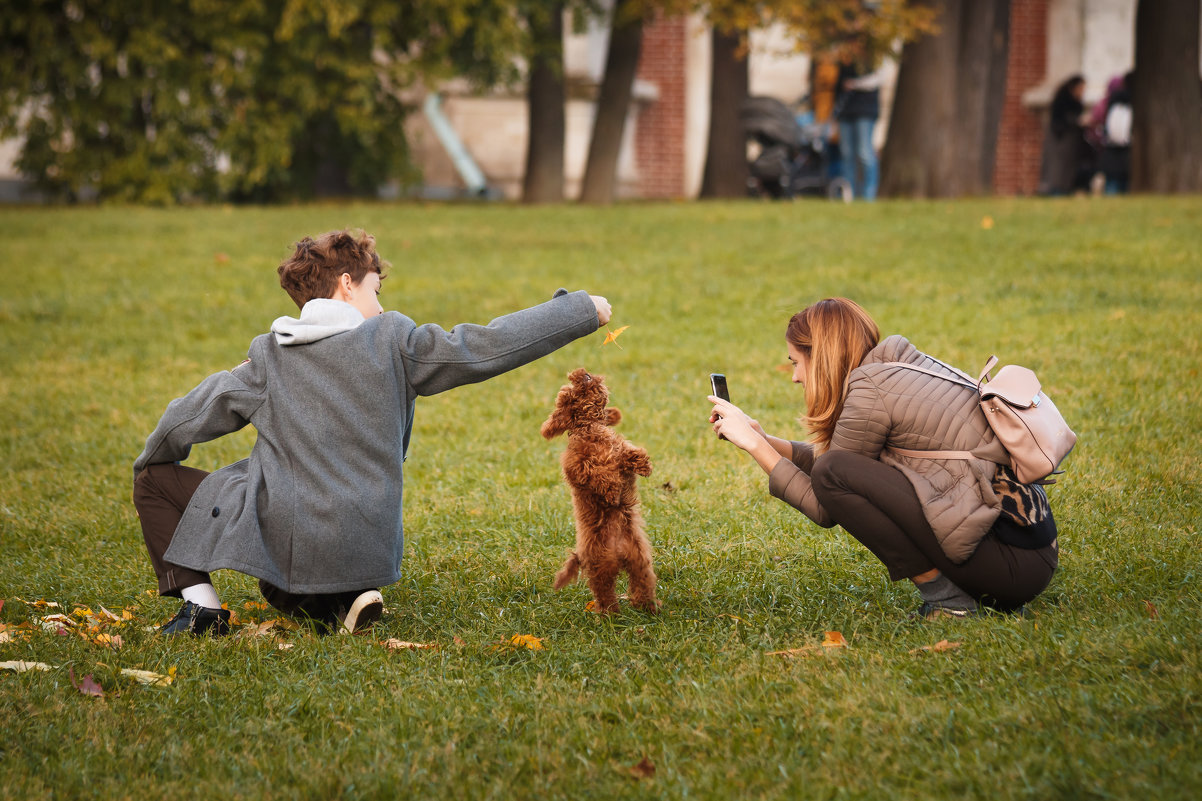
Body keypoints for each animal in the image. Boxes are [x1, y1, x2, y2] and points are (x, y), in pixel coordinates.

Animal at [543, 365, 658, 610]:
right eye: (570, 392)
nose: (581, 371)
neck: (591, 428)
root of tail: (619, 551)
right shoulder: (577, 467)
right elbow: (596, 473)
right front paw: (611, 490)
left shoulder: (620, 452)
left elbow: (629, 454)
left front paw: (644, 466)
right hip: (600, 567)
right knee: (605, 596)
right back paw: (611, 615)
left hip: (639, 562)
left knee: (641, 586)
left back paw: (648, 609)